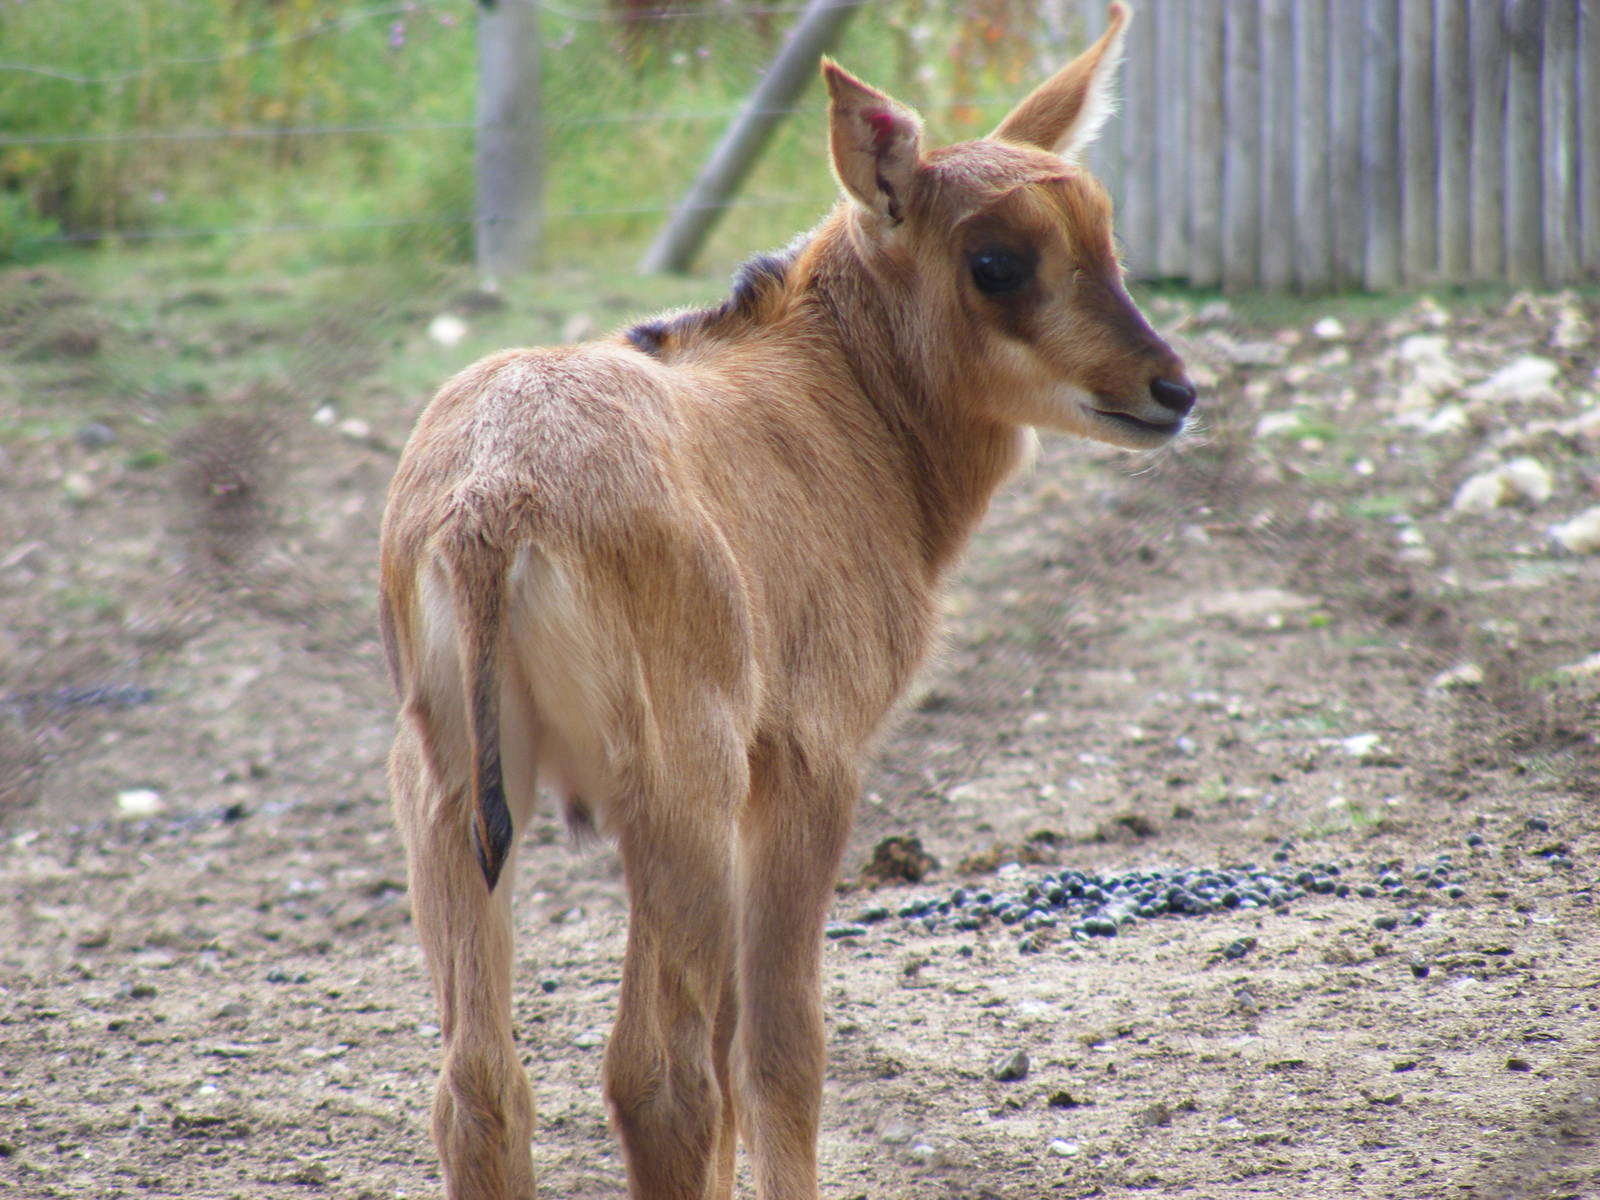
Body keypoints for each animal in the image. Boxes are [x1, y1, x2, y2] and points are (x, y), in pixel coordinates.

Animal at [378, 4, 1192, 1197]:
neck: (833, 396)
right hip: (677, 791)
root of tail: (492, 498)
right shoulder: (811, 760)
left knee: (478, 1086)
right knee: (660, 1073)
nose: (1171, 390)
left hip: (448, 792)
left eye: (1102, 238)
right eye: (996, 260)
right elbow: (778, 1049)